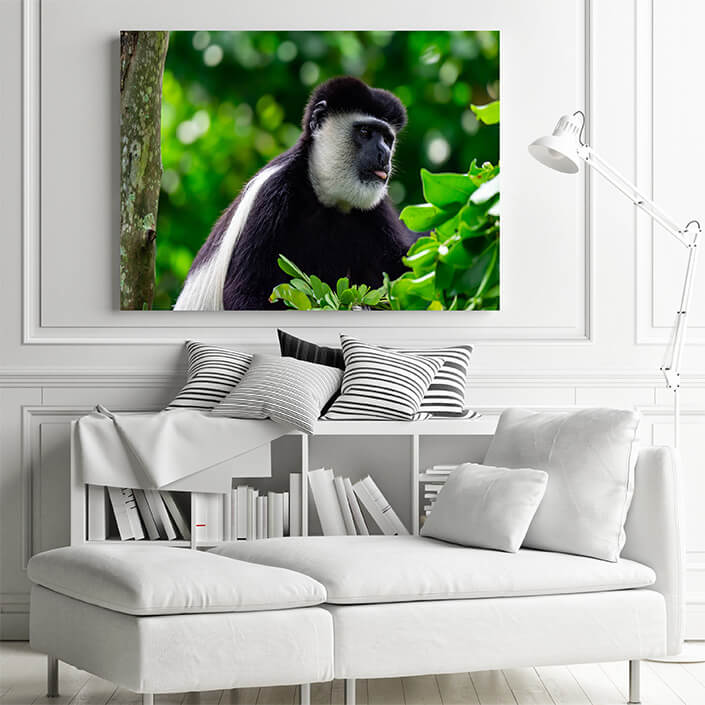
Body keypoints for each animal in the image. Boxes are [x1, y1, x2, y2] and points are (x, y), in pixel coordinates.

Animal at [173, 76, 420, 310]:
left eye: (387, 139)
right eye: (365, 132)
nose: (384, 154)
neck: (325, 197)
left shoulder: (375, 207)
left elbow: (403, 266)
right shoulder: (272, 195)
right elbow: (243, 294)